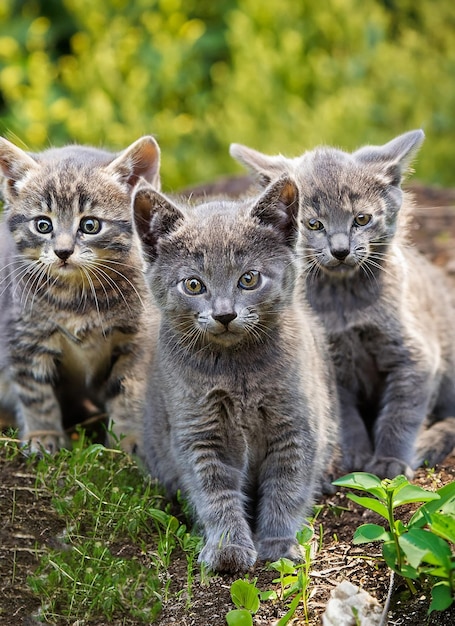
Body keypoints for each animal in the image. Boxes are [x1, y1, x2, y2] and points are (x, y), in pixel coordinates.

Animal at [0, 134, 160, 450]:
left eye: (90, 225)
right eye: (43, 225)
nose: (63, 251)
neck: (78, 297)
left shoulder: (138, 339)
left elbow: (127, 389)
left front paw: (127, 440)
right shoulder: (22, 337)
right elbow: (35, 394)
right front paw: (43, 435)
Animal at [135, 174, 338, 572]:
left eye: (249, 279)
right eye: (193, 284)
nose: (224, 314)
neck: (235, 372)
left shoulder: (296, 426)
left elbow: (286, 487)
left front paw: (278, 544)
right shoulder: (198, 432)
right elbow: (214, 492)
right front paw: (228, 547)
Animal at [232, 129, 455, 476]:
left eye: (361, 219)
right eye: (313, 224)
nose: (340, 250)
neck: (345, 305)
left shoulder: (416, 355)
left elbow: (401, 414)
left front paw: (390, 461)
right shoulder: (330, 362)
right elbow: (345, 416)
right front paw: (356, 457)